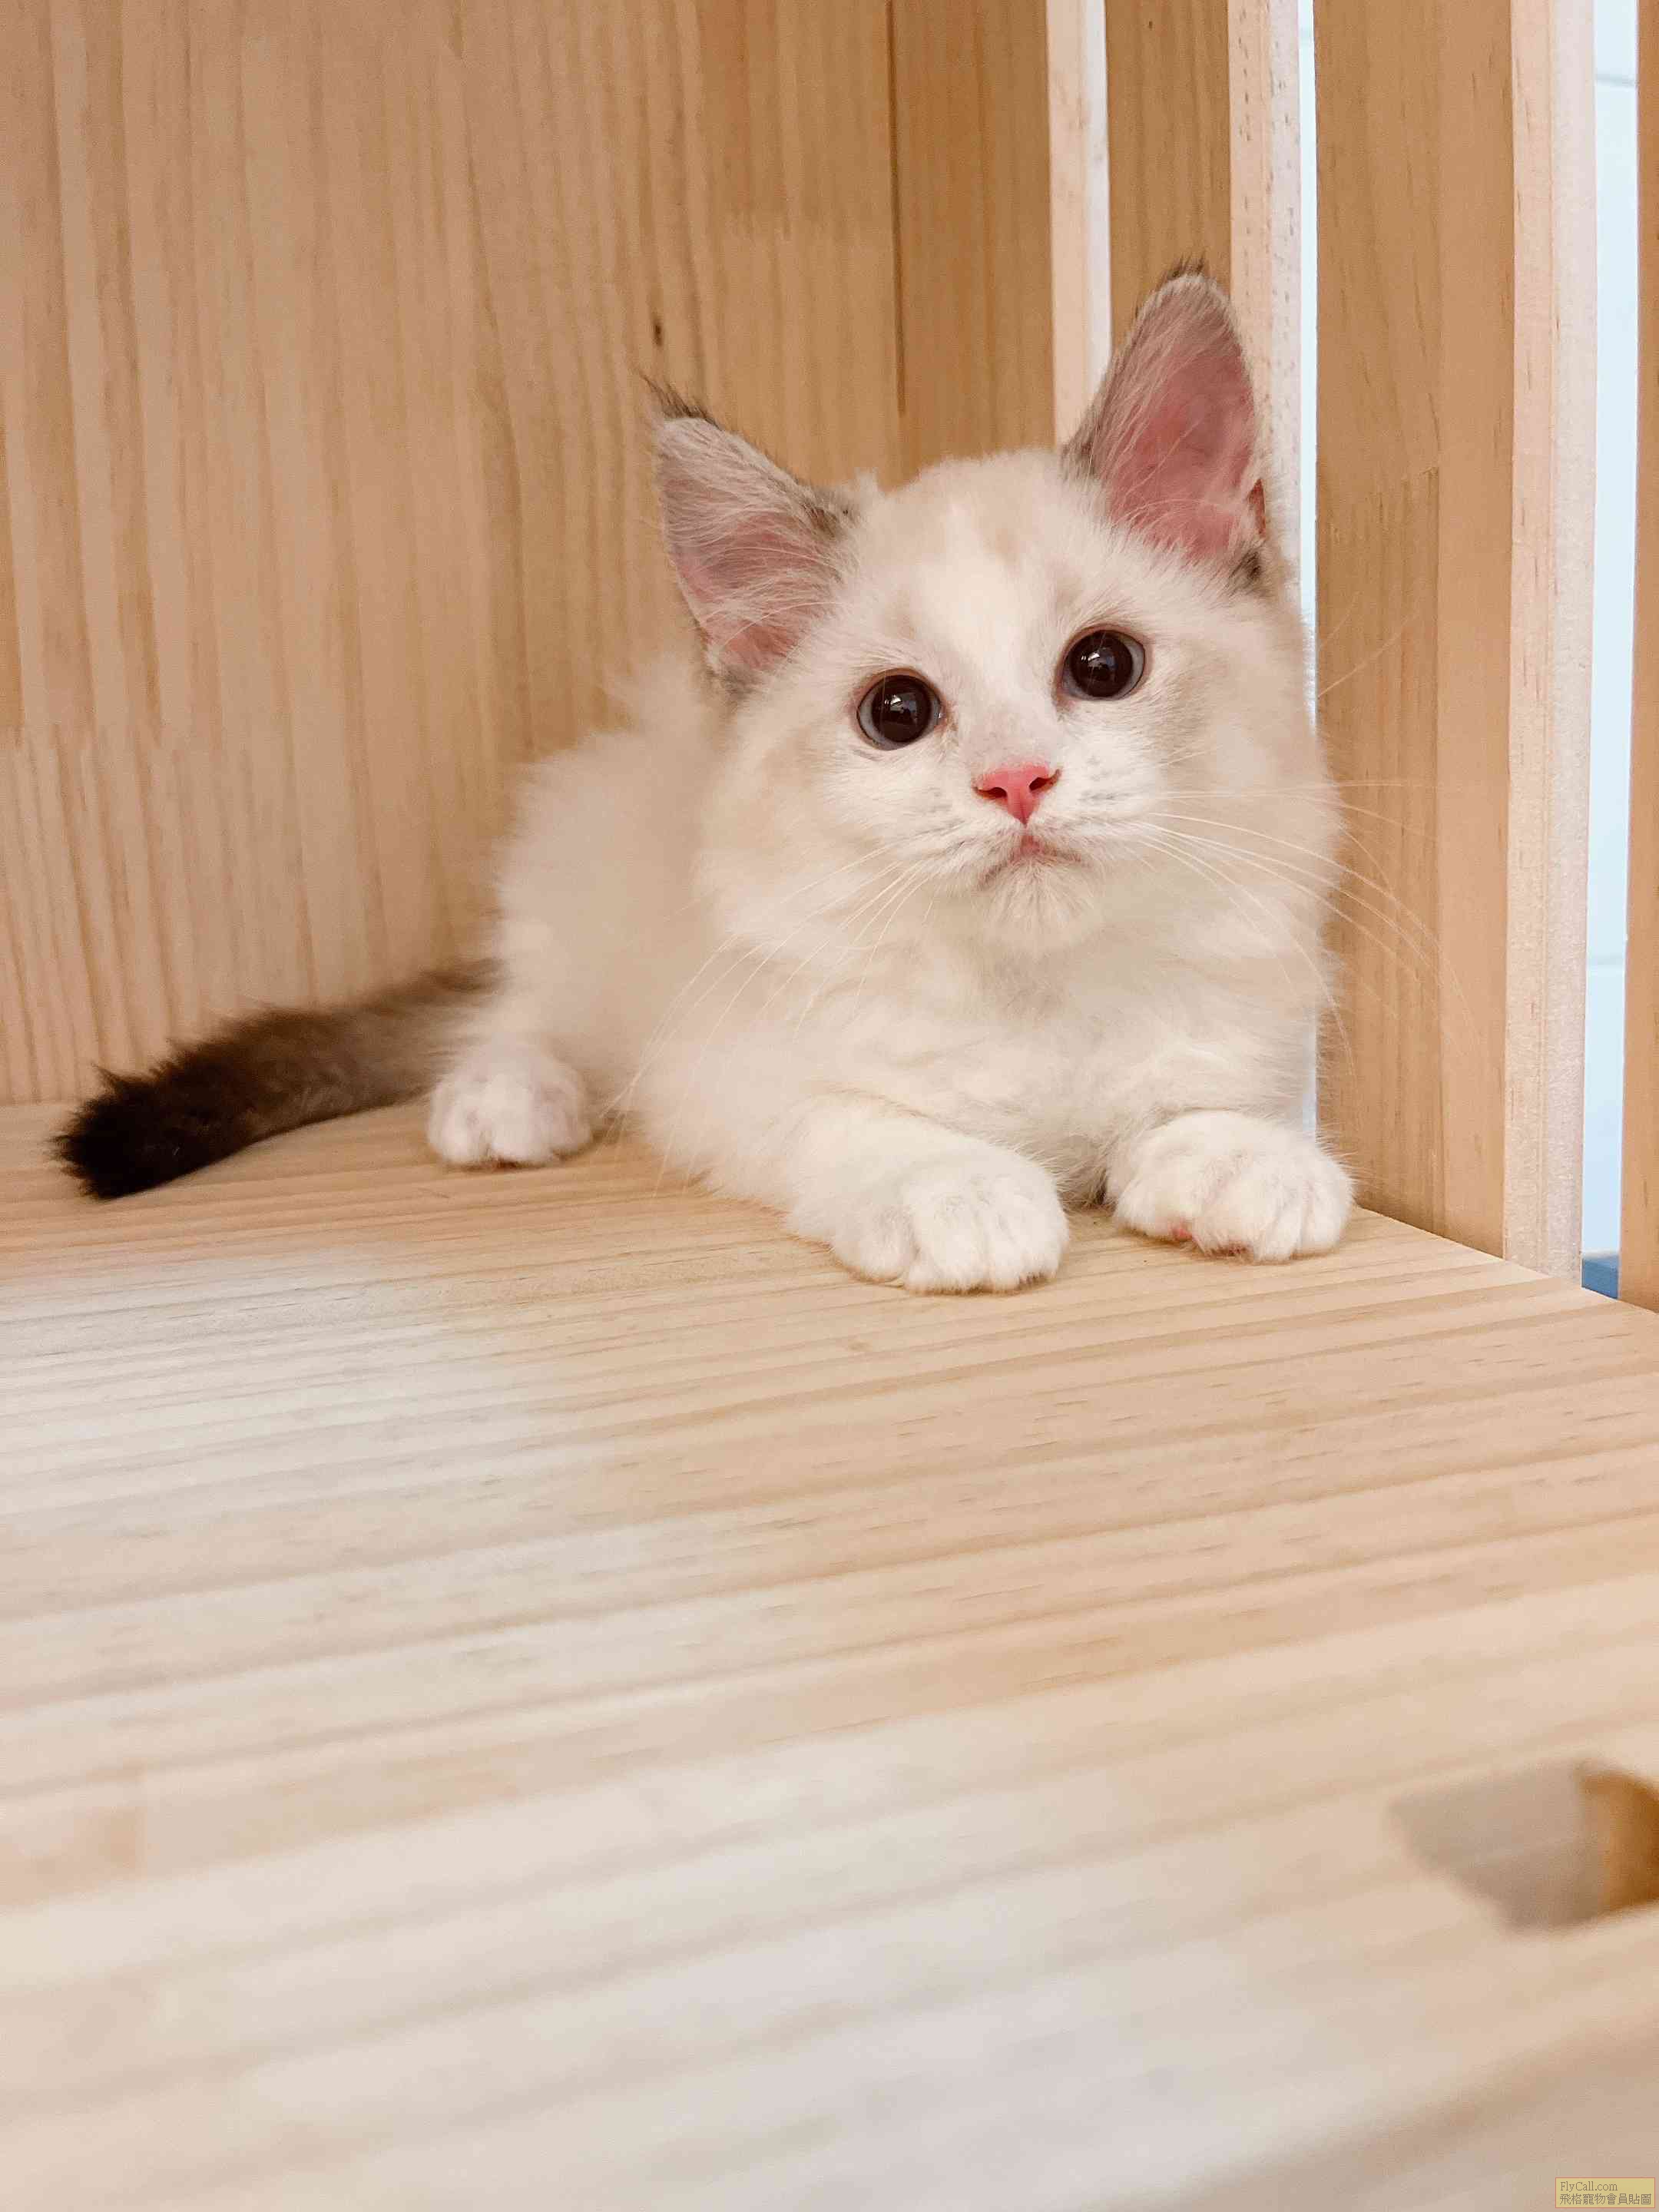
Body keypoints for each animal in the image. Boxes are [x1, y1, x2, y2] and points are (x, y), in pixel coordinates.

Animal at [58, 271, 1352, 1293]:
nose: (1016, 781)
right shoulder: (724, 1074)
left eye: (1103, 667)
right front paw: (962, 1192)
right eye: (898, 714)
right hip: (573, 914)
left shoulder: (1244, 1023)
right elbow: (857, 1122)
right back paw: (506, 1102)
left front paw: (1243, 1161)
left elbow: (1207, 1097)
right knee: (511, 1009)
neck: (1036, 995)